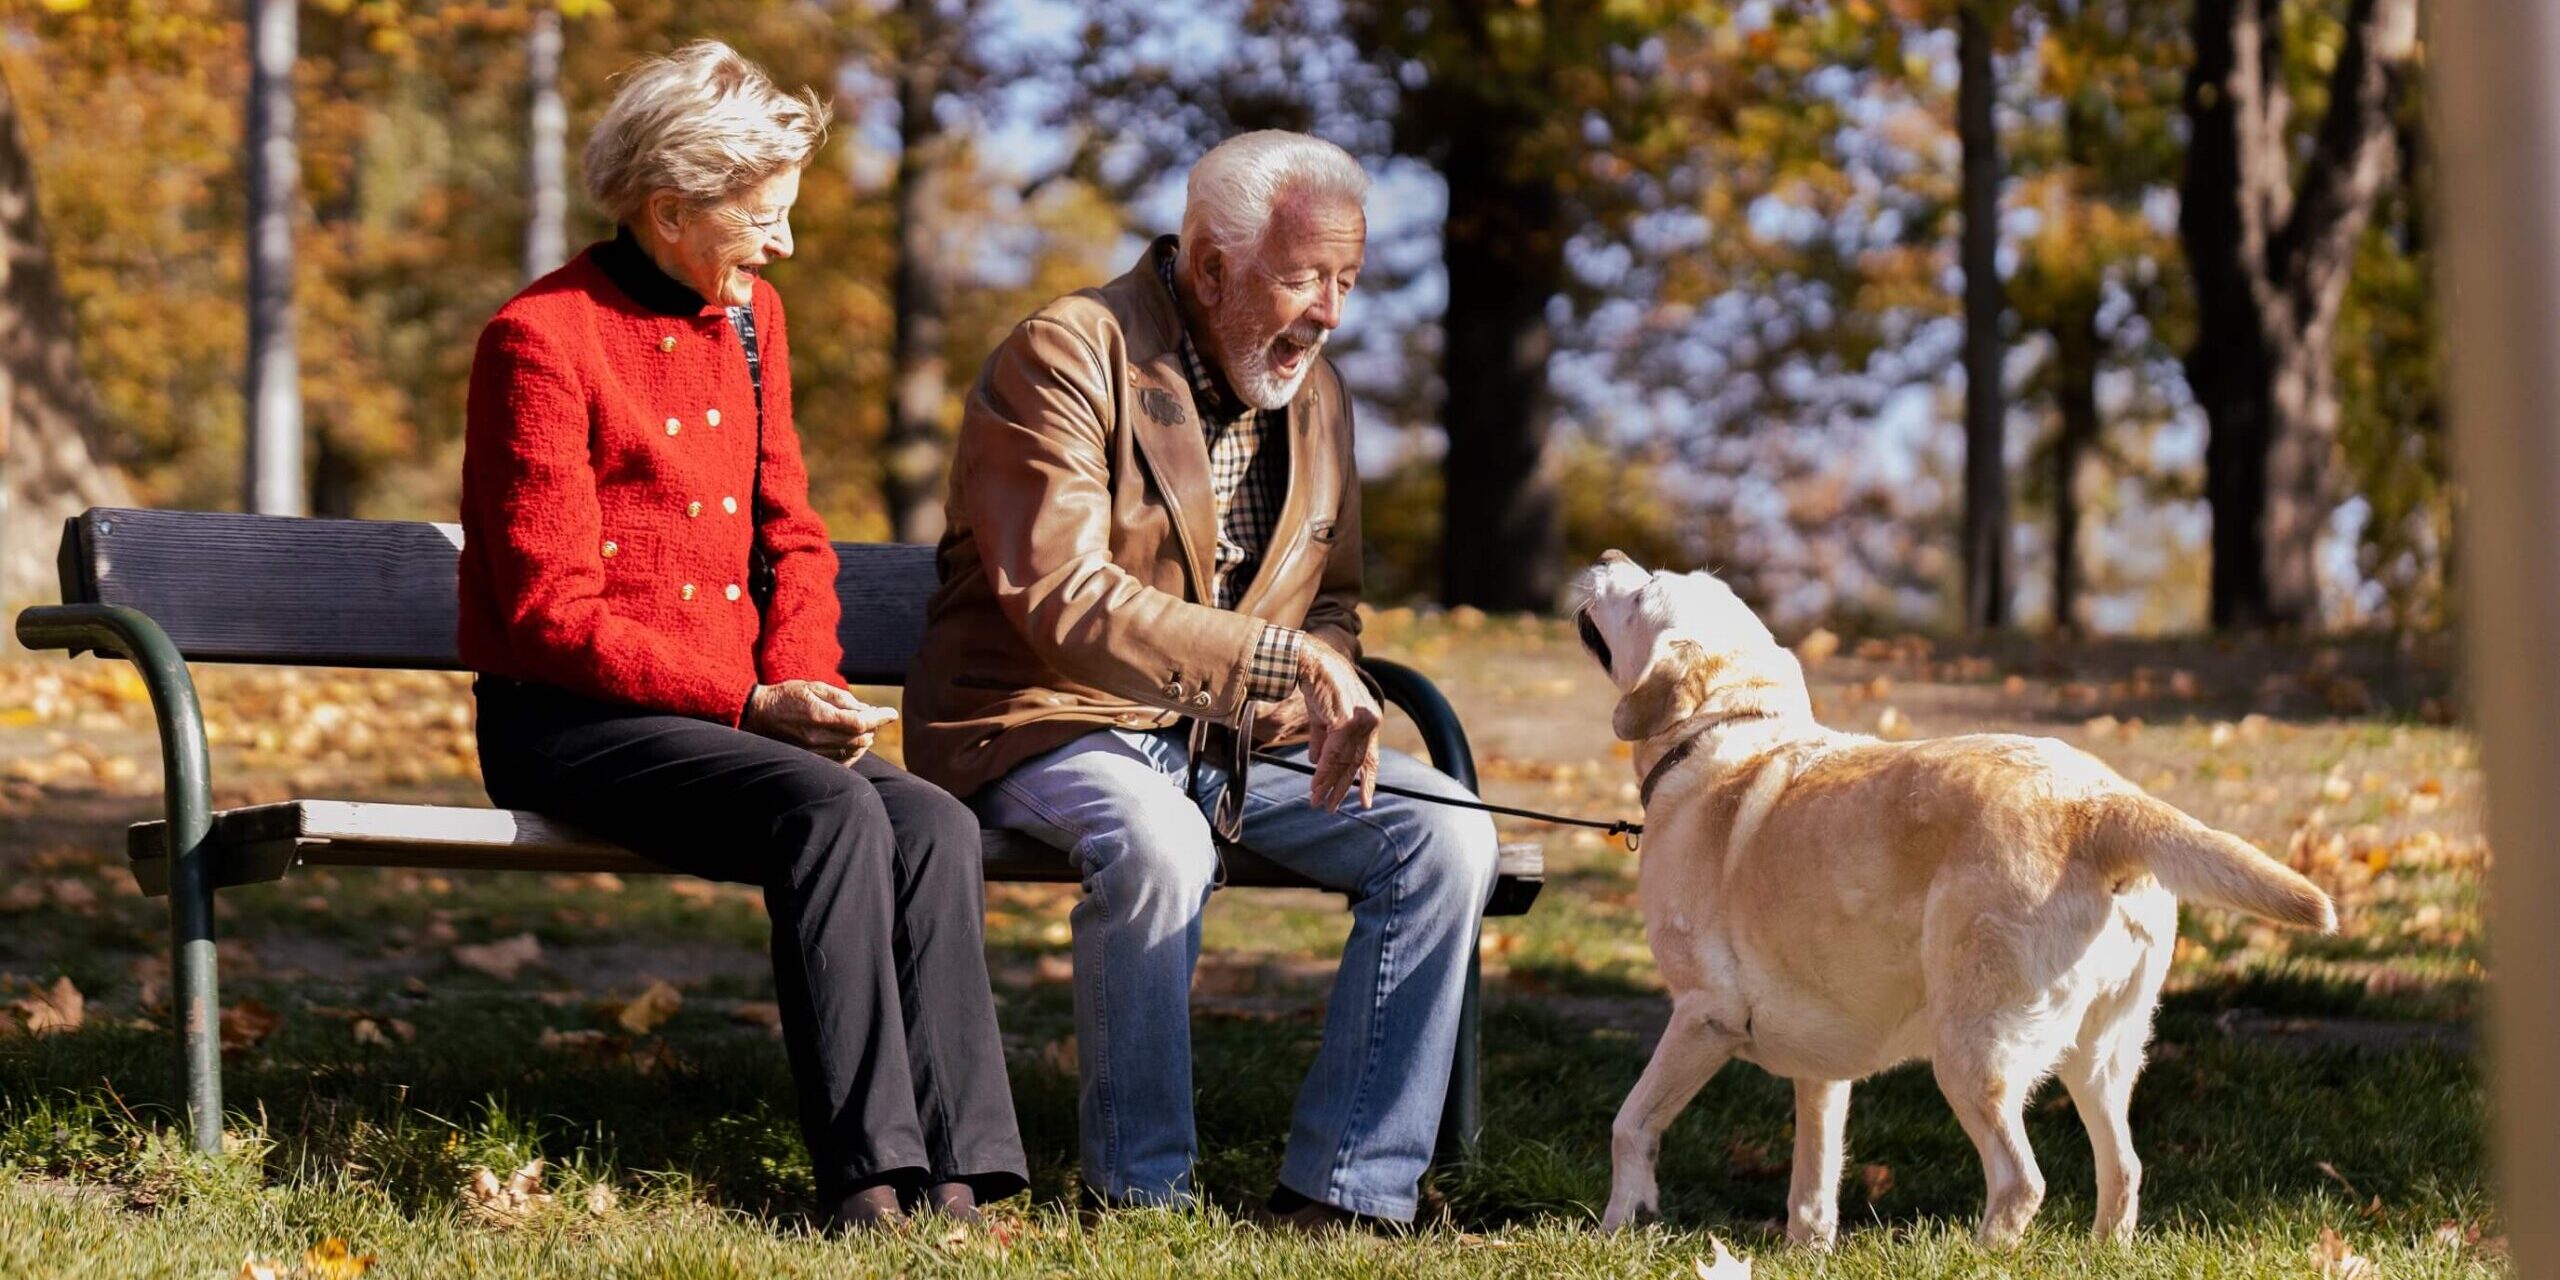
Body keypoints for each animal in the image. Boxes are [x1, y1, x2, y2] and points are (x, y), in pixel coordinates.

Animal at [1566, 552, 2334, 1249]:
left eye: (1641, 592)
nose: (1606, 555)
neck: (1728, 728)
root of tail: (2100, 803)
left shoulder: (1704, 1015)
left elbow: (1630, 1124)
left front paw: (1618, 1227)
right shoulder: (1823, 1069)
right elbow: (1813, 1181)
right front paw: (1805, 1252)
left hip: (1972, 1050)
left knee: (2022, 1182)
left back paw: (1976, 1253)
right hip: (2104, 1056)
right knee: (2124, 1169)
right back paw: (2102, 1252)